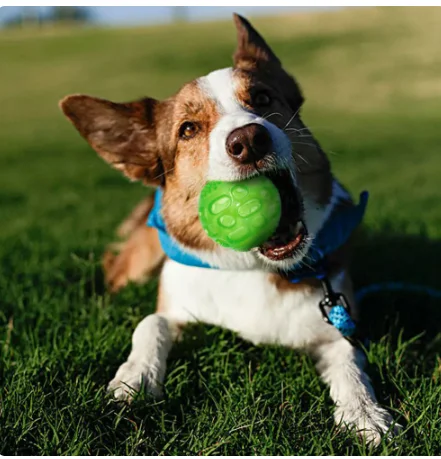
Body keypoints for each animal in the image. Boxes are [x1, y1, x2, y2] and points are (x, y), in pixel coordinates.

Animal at [61, 14, 396, 446]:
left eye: (263, 99)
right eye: (187, 129)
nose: (249, 140)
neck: (253, 266)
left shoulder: (336, 324)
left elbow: (351, 364)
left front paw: (366, 413)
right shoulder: (178, 307)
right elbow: (150, 322)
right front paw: (135, 377)